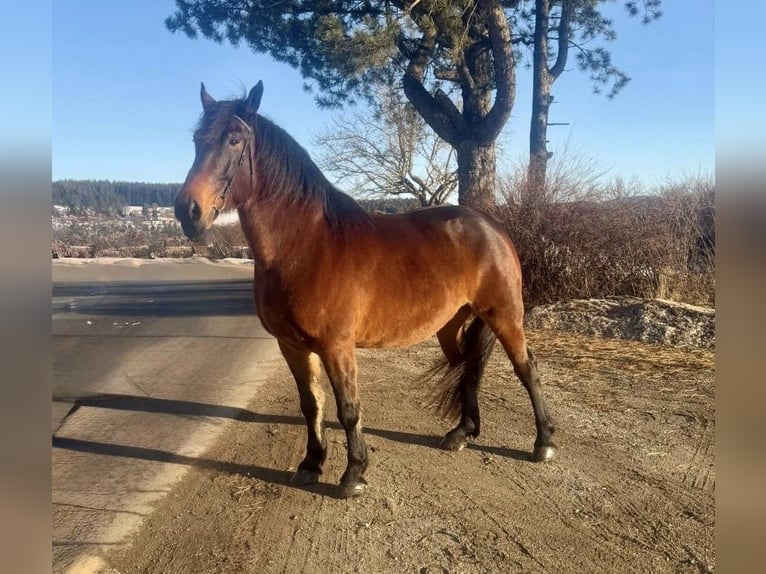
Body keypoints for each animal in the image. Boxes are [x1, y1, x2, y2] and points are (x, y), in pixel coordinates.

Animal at [174, 81, 556, 498]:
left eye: (234, 140)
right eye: (195, 140)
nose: (187, 211)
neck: (305, 245)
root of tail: (493, 226)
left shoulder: (336, 345)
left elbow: (348, 408)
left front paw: (354, 474)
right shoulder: (291, 345)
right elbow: (311, 404)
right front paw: (311, 464)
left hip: (505, 315)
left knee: (527, 369)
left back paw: (543, 443)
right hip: (454, 324)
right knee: (471, 367)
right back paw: (461, 433)